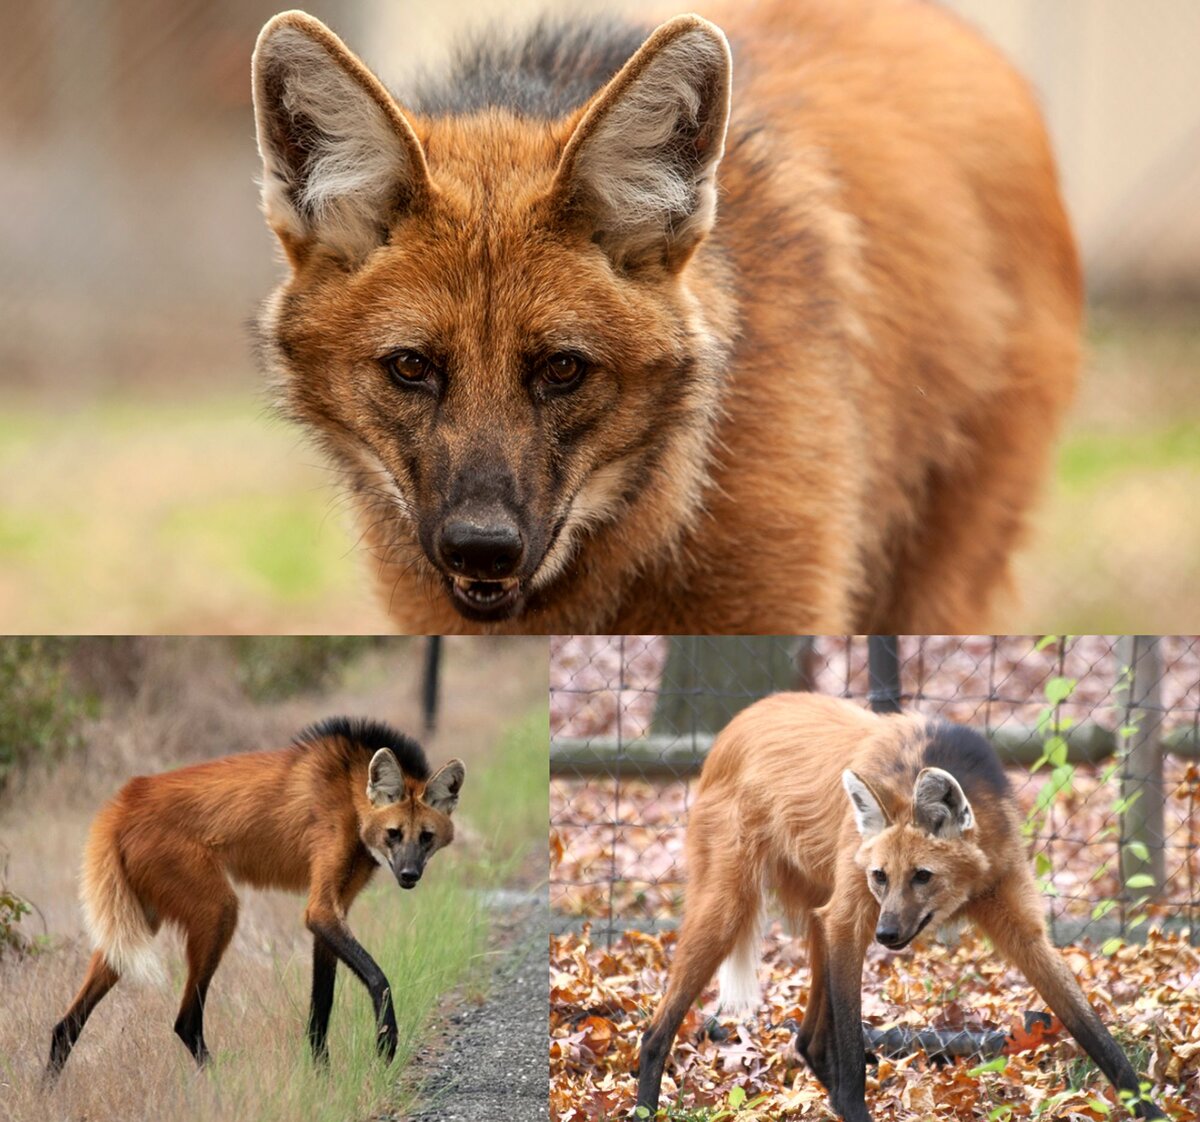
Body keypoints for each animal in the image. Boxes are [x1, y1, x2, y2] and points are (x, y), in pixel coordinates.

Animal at [44, 720, 463, 1080]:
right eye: (394, 834)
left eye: (425, 837)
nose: (409, 875)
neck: (349, 791)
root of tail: (122, 802)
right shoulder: (321, 908)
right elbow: (378, 978)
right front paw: (385, 1041)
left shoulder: (332, 913)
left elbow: (321, 1005)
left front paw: (321, 1078)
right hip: (217, 912)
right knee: (186, 1020)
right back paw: (219, 1084)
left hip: (134, 924)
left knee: (66, 1024)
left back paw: (47, 1091)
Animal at [638, 696, 1161, 1118]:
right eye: (881, 876)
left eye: (922, 876)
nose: (887, 935)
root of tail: (735, 723)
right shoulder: (853, 918)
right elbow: (852, 1046)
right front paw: (854, 1108)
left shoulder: (1017, 920)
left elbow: (1094, 1031)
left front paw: (1149, 1109)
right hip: (733, 908)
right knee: (655, 1031)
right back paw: (645, 1107)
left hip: (818, 915)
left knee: (807, 1039)